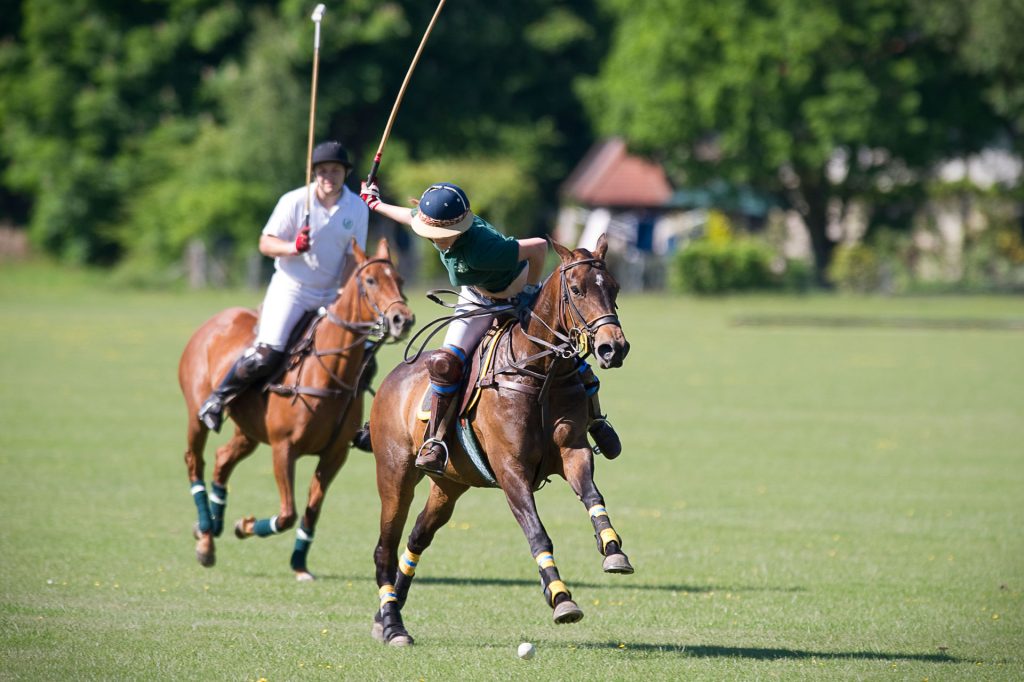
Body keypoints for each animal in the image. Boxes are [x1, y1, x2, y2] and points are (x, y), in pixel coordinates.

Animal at [178, 238, 413, 577]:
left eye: (401, 280)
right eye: (370, 280)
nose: (402, 319)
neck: (329, 373)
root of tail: (213, 321)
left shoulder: (334, 455)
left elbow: (311, 512)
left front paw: (299, 563)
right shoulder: (283, 448)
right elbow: (287, 513)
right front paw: (244, 525)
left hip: (248, 431)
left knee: (222, 460)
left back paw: (212, 528)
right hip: (197, 414)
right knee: (195, 460)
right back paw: (206, 533)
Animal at [368, 233, 630, 643]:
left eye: (615, 288)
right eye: (576, 289)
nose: (613, 348)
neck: (539, 372)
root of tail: (392, 379)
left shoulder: (574, 451)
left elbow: (592, 496)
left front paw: (614, 550)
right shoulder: (510, 470)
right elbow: (537, 532)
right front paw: (561, 598)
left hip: (449, 484)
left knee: (416, 538)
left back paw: (386, 614)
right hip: (394, 475)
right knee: (385, 547)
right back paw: (394, 625)